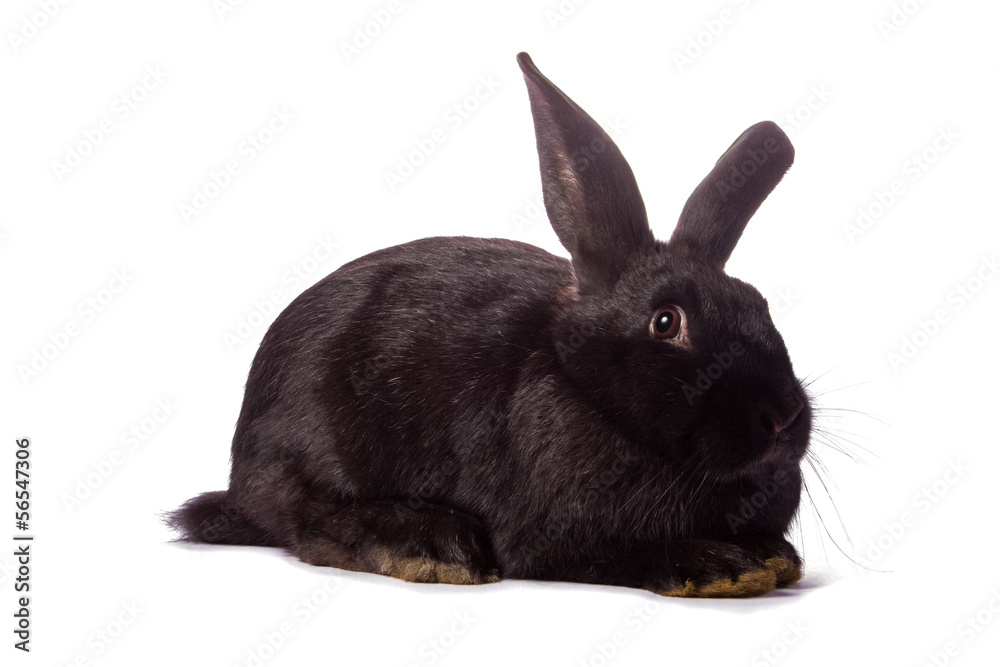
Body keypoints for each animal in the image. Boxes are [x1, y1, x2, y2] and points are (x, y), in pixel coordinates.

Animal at [169, 52, 811, 598]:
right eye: (665, 321)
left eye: (761, 305)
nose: (781, 419)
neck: (584, 389)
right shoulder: (557, 535)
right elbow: (617, 552)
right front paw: (722, 568)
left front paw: (773, 557)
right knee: (311, 524)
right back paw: (432, 547)